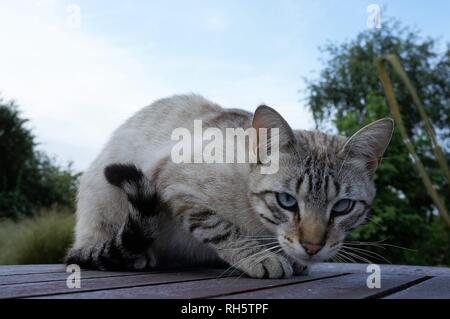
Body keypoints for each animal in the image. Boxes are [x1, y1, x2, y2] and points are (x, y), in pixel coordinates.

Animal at [65, 94, 392, 278]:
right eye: (287, 201)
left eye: (342, 207)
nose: (312, 247)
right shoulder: (173, 181)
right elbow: (223, 229)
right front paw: (261, 258)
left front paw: (292, 258)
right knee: (90, 248)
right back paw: (137, 257)